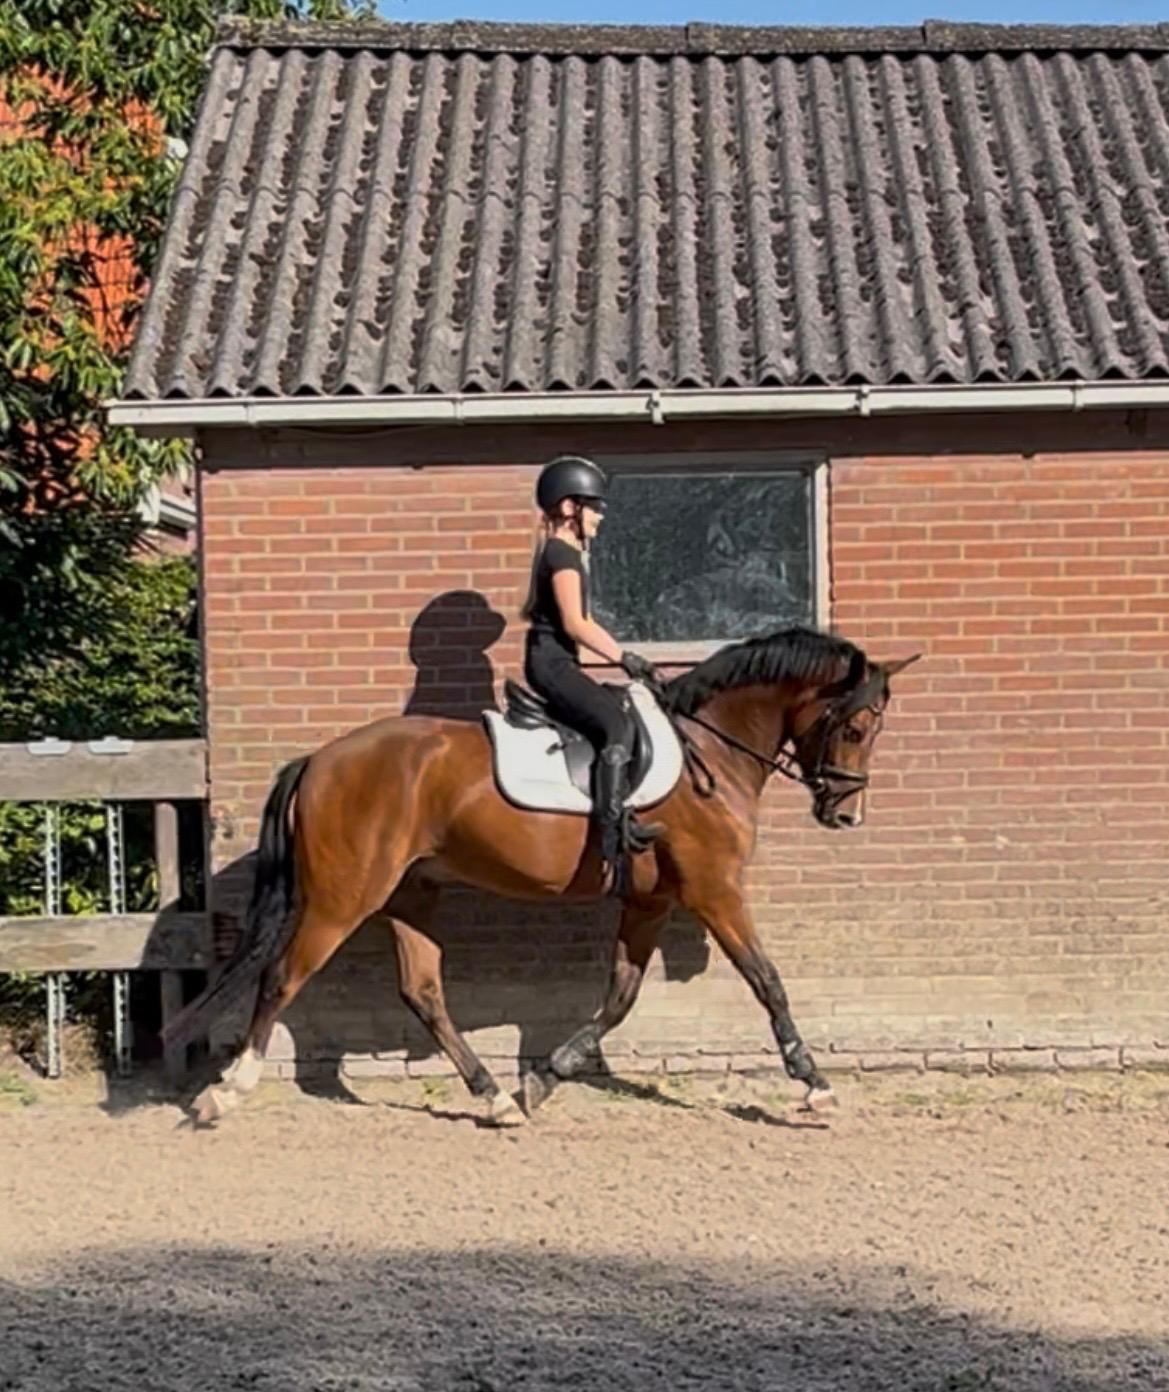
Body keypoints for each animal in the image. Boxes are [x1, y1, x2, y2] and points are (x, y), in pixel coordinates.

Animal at [164, 625, 919, 1127]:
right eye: (857, 727)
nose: (845, 813)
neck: (709, 748)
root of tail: (319, 759)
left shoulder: (651, 901)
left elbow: (619, 998)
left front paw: (546, 1078)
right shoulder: (714, 890)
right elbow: (767, 981)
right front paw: (813, 1083)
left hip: (410, 893)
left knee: (423, 991)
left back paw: (495, 1098)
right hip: (343, 897)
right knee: (281, 977)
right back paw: (223, 1092)